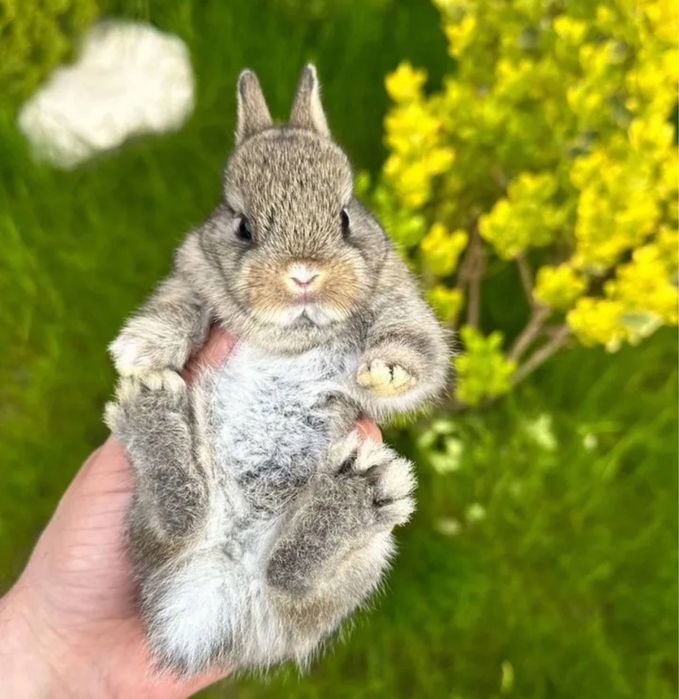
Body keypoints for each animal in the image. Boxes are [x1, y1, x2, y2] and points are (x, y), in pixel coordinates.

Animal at [105, 65, 450, 676]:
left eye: (344, 217)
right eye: (243, 227)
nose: (304, 274)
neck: (293, 335)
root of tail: (219, 580)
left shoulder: (400, 307)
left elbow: (415, 345)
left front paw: (387, 371)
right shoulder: (194, 278)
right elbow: (181, 304)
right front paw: (140, 350)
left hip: (364, 565)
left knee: (289, 580)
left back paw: (359, 491)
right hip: (143, 525)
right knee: (180, 525)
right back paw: (151, 408)